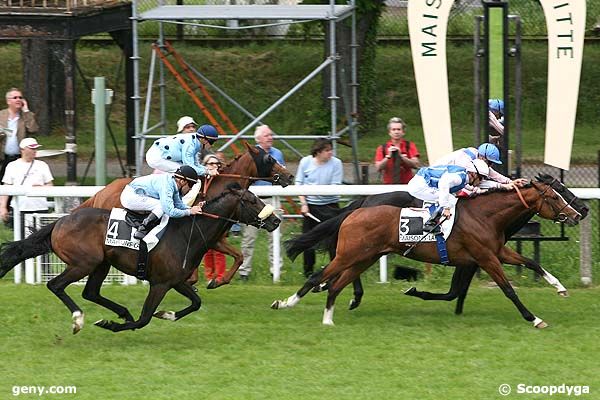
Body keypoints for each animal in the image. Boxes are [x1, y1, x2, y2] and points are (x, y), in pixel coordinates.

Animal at [0, 185, 282, 334]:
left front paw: (167, 314)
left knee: (91, 292)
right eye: (252, 200)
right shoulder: (159, 284)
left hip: (101, 263)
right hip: (84, 263)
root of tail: (59, 221)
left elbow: (196, 303)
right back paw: (79, 319)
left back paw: (121, 312)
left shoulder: (176, 280)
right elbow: (145, 318)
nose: (276, 220)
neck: (187, 233)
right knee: (56, 285)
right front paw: (111, 325)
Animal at [74, 142, 294, 290]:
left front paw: (217, 281)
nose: (289, 176)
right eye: (269, 159)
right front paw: (202, 281)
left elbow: (239, 256)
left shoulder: (215, 238)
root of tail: (101, 192)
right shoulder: (207, 237)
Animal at [274, 176, 588, 328]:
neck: (486, 215)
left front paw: (560, 288)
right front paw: (533, 318)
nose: (579, 213)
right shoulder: (485, 258)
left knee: (336, 285)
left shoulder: (496, 251)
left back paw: (329, 317)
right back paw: (286, 303)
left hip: (364, 257)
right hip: (349, 255)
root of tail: (355, 210)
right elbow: (508, 290)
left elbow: (533, 263)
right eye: (556, 194)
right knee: (318, 277)